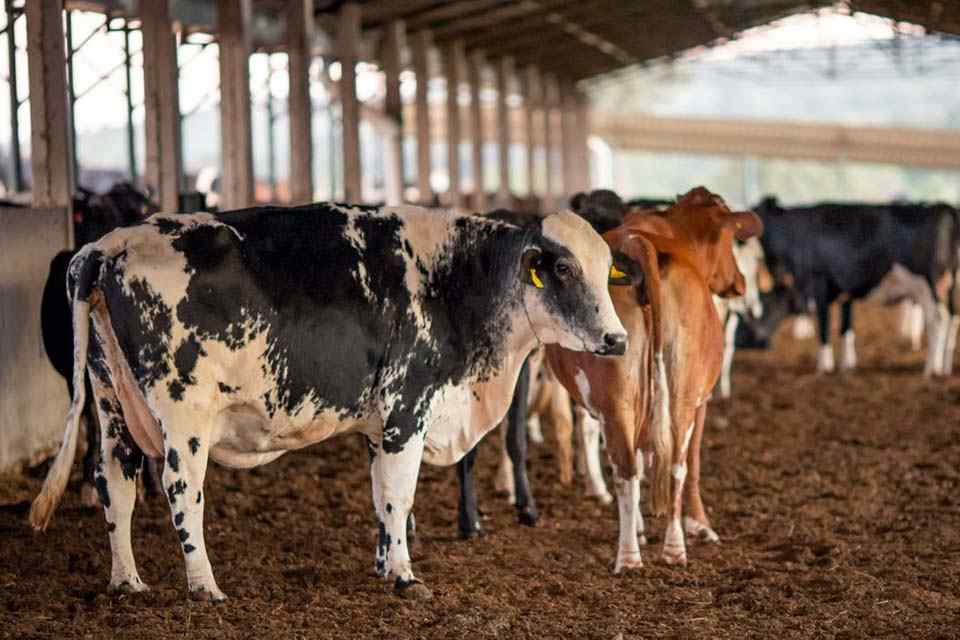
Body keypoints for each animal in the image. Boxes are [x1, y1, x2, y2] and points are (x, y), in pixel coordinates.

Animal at [30, 203, 627, 601]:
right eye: (565, 268)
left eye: (605, 269)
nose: (617, 339)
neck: (457, 280)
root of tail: (106, 246)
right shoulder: (407, 408)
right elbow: (400, 495)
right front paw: (406, 577)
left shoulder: (378, 424)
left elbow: (381, 495)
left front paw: (385, 565)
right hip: (183, 414)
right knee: (181, 489)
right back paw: (204, 586)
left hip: (112, 403)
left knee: (115, 482)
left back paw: (127, 581)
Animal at [755, 197, 960, 375]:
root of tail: (943, 206)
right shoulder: (845, 292)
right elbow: (845, 328)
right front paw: (846, 366)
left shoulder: (819, 284)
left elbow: (824, 327)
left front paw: (823, 368)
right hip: (948, 286)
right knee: (952, 317)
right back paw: (944, 367)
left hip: (930, 284)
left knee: (937, 320)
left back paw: (930, 369)